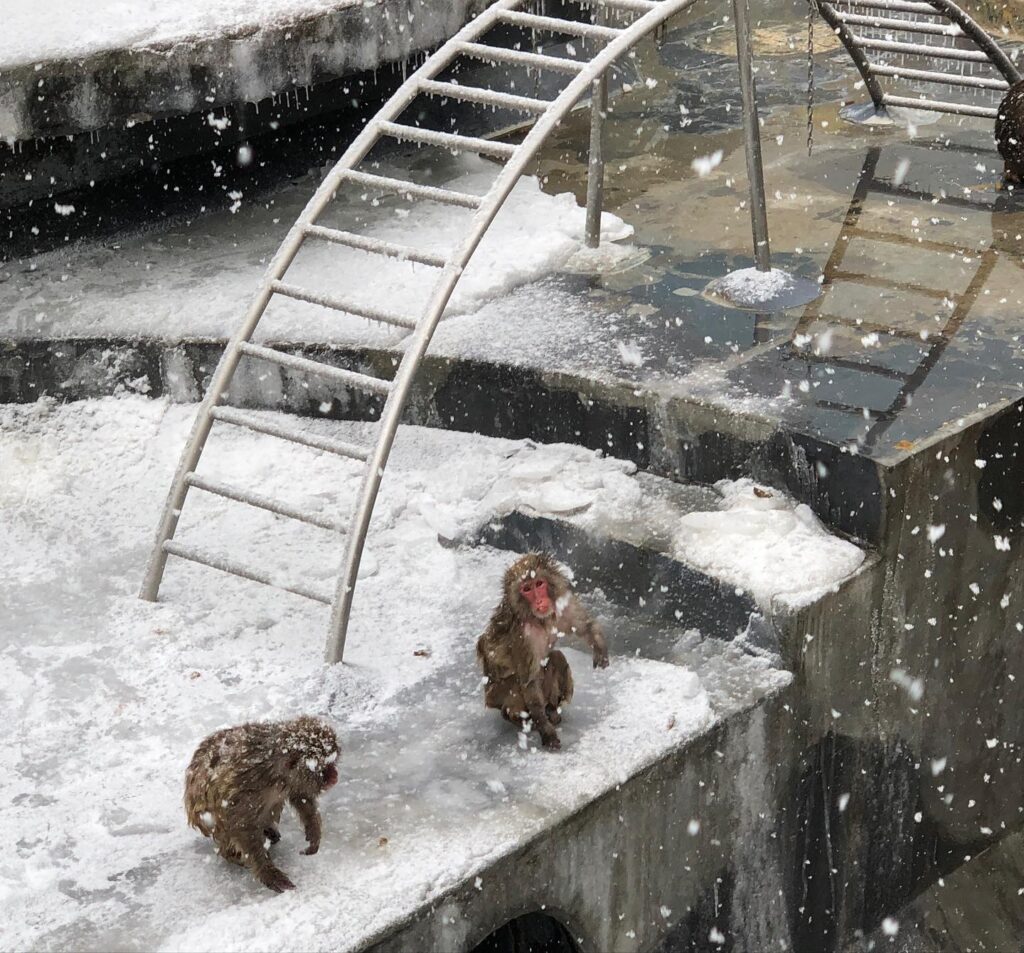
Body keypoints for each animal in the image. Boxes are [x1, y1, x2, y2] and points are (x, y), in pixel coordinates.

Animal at [184, 715, 339, 893]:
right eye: (322, 766)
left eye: (332, 761)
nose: (334, 776)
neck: (274, 770)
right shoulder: (248, 787)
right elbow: (240, 824)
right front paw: (268, 872)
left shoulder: (291, 780)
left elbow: (300, 795)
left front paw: (313, 832)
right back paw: (231, 854)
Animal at [476, 552, 609, 751]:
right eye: (526, 589)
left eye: (539, 584)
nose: (539, 601)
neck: (539, 619)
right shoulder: (523, 636)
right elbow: (529, 682)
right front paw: (546, 731)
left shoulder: (562, 604)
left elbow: (586, 626)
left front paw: (600, 648)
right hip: (497, 694)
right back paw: (521, 719)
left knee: (556, 658)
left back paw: (553, 711)